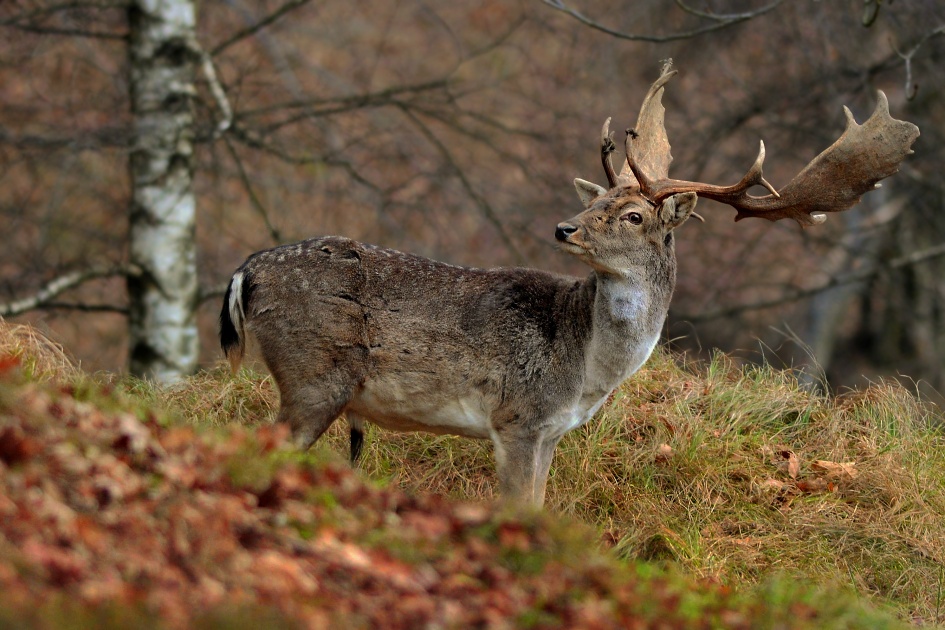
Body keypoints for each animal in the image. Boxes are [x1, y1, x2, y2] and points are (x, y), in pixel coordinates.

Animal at [219, 63, 916, 508]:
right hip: (314, 372)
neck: (584, 370)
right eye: (597, 198)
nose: (564, 226)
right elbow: (519, 509)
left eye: (631, 214)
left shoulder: (550, 431)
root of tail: (245, 270)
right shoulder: (518, 417)